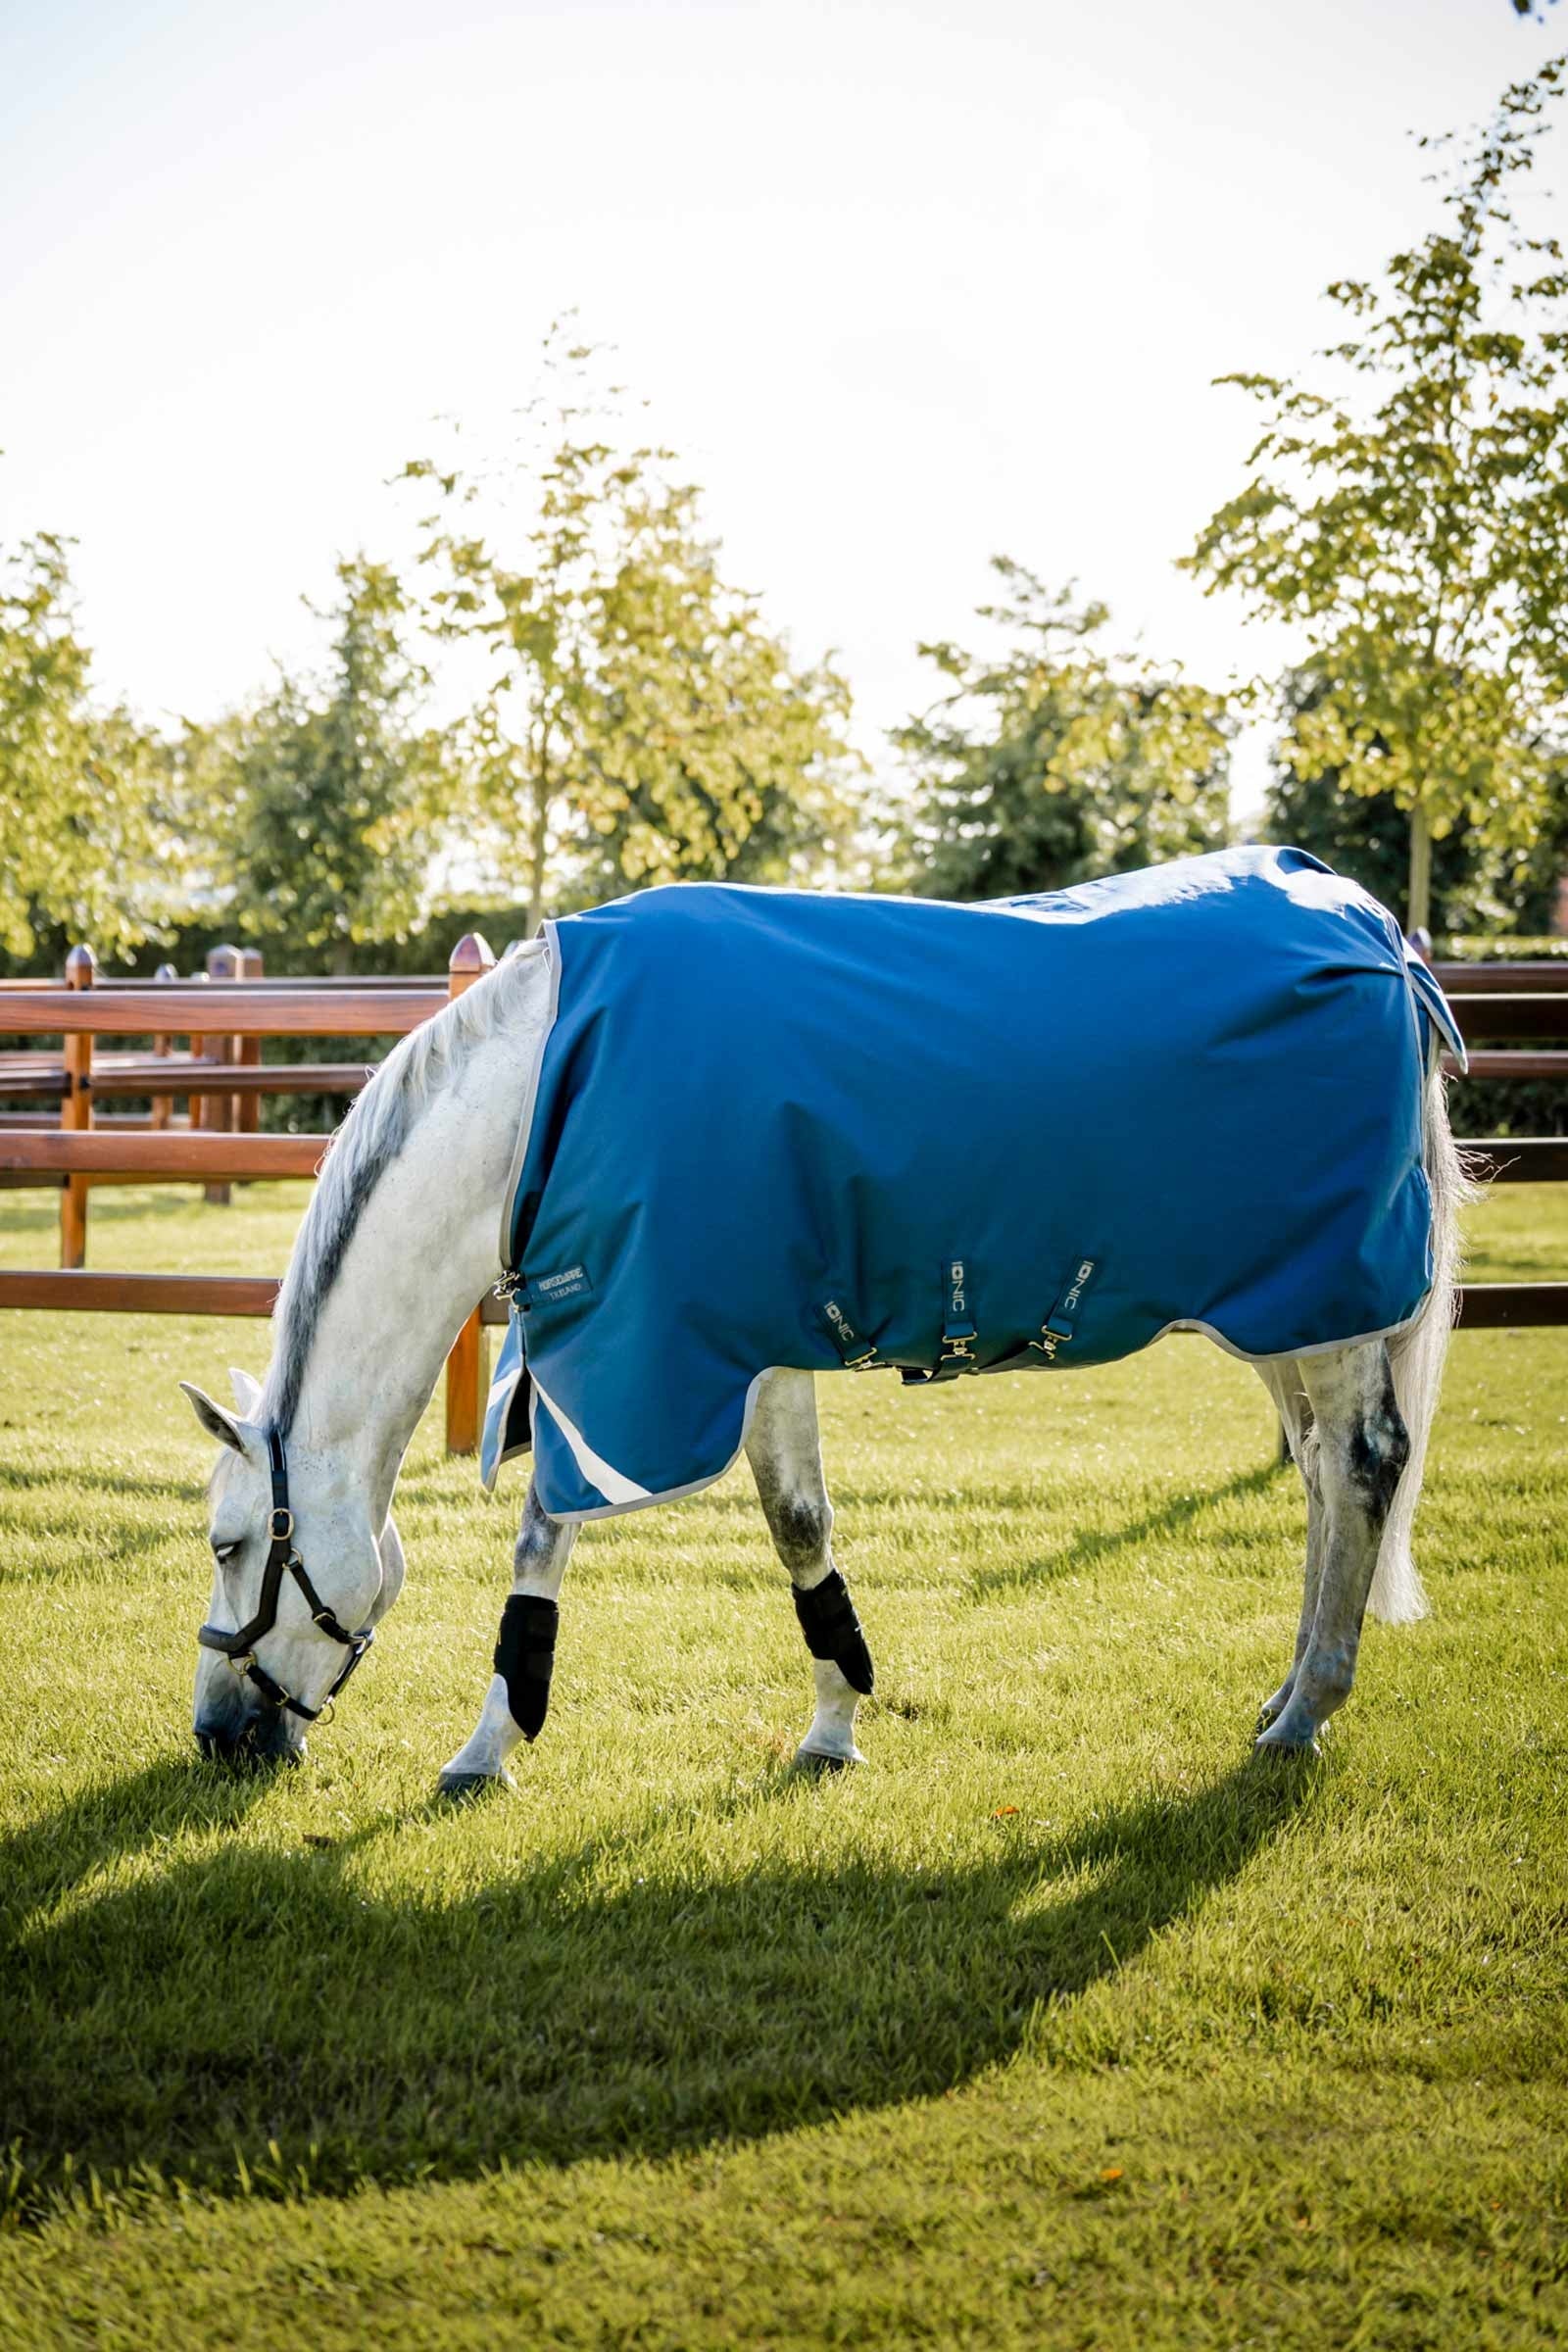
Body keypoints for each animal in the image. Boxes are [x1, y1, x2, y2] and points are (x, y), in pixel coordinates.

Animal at [180, 852, 1469, 1788]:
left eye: (230, 1545)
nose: (215, 1735)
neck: (547, 1091)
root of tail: (1370, 932)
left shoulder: (646, 1360)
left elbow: (550, 1535)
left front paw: (488, 1747)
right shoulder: (753, 1347)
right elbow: (800, 1528)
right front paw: (835, 1724)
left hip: (1331, 1307)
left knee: (1363, 1465)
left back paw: (1305, 1715)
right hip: (1287, 1314)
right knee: (1321, 1474)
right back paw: (1289, 1689)